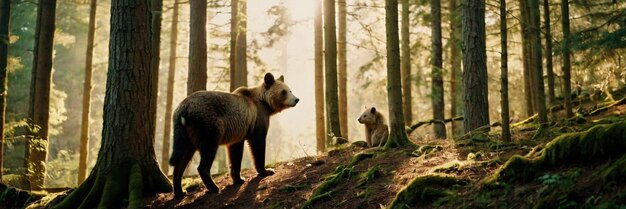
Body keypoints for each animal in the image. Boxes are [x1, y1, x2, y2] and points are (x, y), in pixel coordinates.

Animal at [169, 72, 298, 197]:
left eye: (290, 90)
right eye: (284, 91)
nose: (297, 99)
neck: (266, 104)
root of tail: (182, 109)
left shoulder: (238, 131)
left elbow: (235, 153)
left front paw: (239, 178)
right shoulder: (257, 119)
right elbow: (258, 144)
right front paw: (267, 170)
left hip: (185, 133)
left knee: (181, 158)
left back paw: (180, 191)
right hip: (207, 125)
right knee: (207, 151)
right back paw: (214, 187)